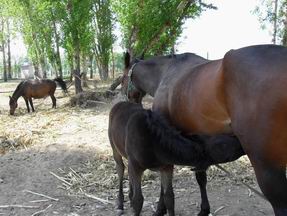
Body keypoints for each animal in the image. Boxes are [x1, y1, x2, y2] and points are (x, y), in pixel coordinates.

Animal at [108, 101, 245, 216]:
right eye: (224, 146)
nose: (241, 143)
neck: (154, 143)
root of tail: (119, 103)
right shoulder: (136, 165)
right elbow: (138, 200)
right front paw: (132, 202)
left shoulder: (167, 167)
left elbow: (169, 197)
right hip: (114, 149)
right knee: (120, 169)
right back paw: (120, 204)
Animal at [122, 44, 287, 216]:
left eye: (122, 78)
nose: (127, 100)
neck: (166, 73)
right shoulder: (196, 142)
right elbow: (201, 176)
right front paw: (204, 209)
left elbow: (167, 183)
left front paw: (160, 210)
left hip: (267, 167)